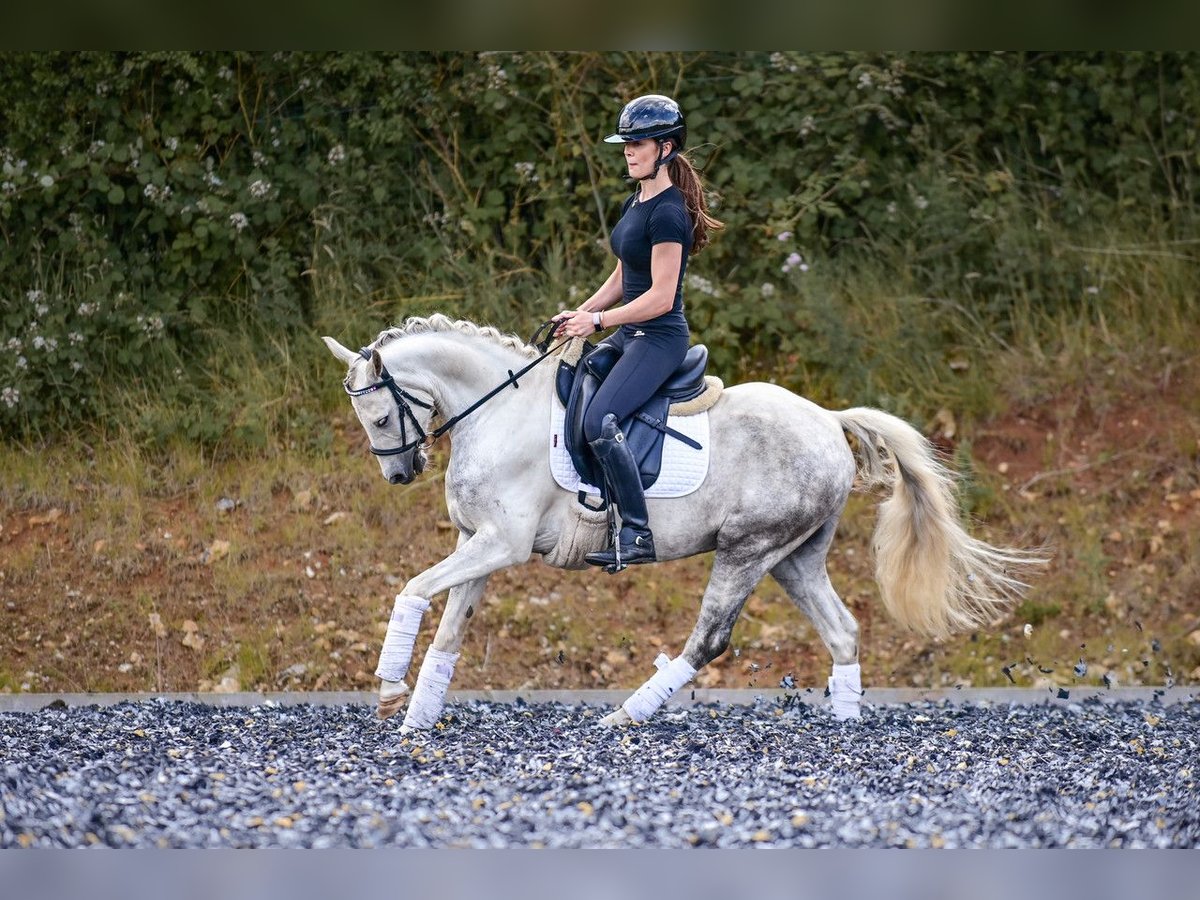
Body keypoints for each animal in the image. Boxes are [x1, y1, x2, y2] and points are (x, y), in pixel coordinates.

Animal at [324, 314, 1046, 734]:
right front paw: (414, 715)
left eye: (381, 416)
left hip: (747, 551)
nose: (400, 473)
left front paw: (387, 689)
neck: (498, 411)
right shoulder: (479, 543)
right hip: (793, 557)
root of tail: (828, 419)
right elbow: (450, 626)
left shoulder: (501, 545)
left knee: (709, 640)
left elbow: (413, 590)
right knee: (842, 630)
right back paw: (844, 729)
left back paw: (624, 716)